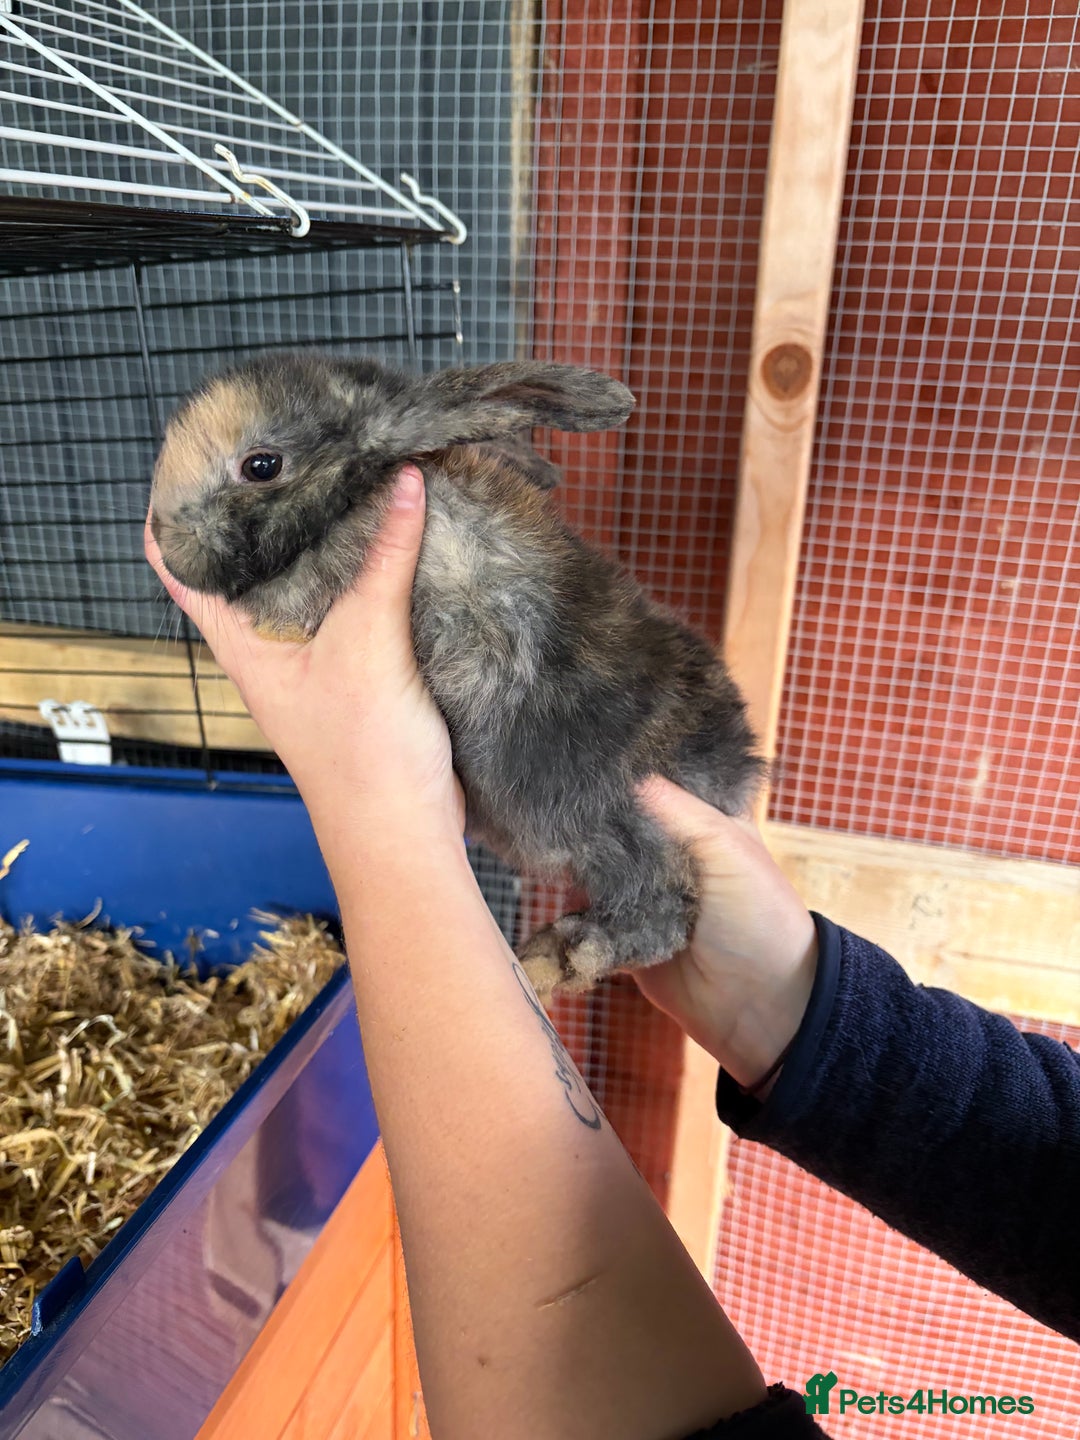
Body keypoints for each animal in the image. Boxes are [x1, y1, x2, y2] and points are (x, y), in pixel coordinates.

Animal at [150, 354, 765, 1001]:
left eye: (261, 465)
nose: (167, 546)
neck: (349, 502)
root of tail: (734, 772)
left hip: (590, 806)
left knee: (664, 903)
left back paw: (559, 958)